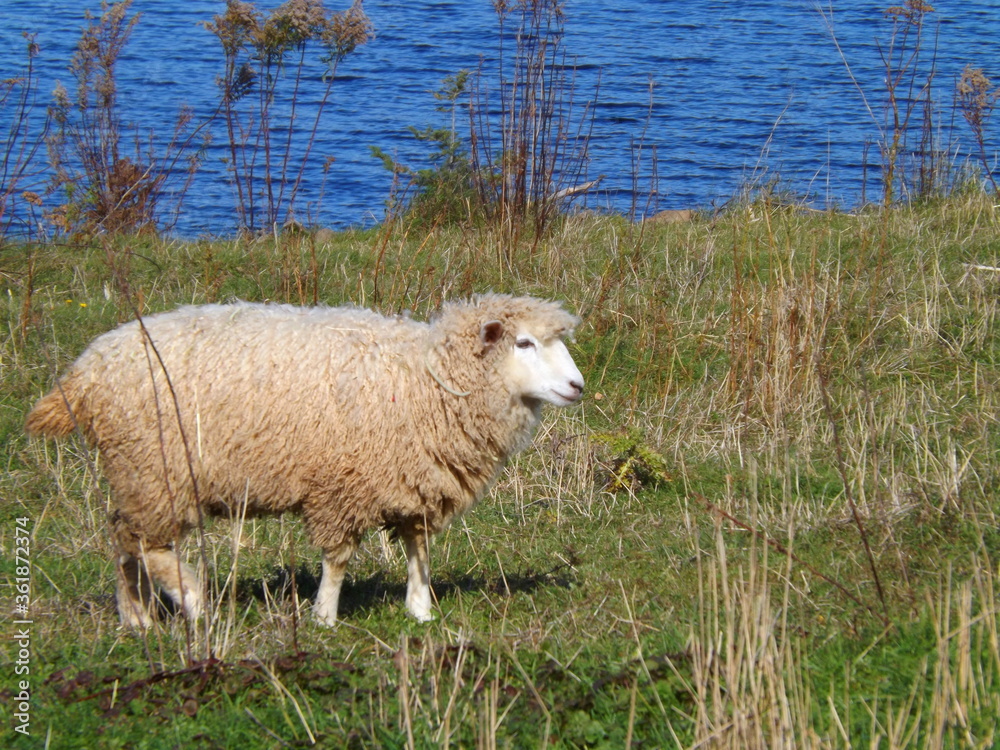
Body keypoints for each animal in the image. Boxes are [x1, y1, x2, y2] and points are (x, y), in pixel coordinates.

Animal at [26, 294, 584, 627]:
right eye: (524, 342)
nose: (578, 385)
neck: (425, 380)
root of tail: (85, 371)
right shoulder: (343, 484)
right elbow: (337, 559)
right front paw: (325, 616)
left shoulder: (416, 478)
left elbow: (418, 550)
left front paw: (421, 610)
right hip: (154, 469)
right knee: (147, 543)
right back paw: (195, 601)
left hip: (136, 473)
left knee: (124, 539)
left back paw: (136, 617)